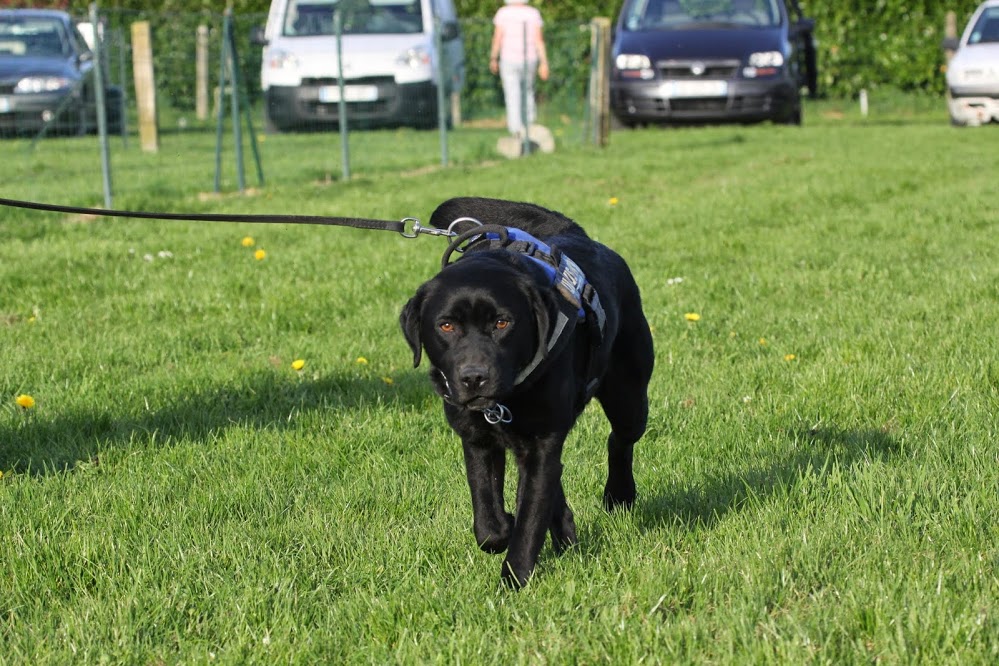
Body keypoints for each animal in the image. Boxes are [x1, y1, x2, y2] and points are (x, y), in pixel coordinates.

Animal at [398, 197, 656, 588]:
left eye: (502, 323)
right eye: (446, 326)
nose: (474, 377)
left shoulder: (540, 444)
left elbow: (530, 516)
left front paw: (514, 580)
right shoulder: (477, 439)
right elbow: (488, 518)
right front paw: (504, 527)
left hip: (629, 396)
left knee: (619, 440)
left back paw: (618, 496)